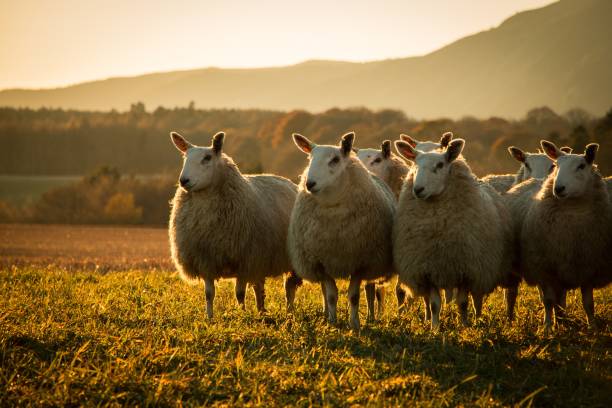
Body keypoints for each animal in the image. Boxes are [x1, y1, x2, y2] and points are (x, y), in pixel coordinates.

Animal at [170, 131, 298, 318]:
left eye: (207, 158)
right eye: (185, 157)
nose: (183, 181)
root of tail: (288, 182)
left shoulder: (244, 260)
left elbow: (239, 293)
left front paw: (242, 315)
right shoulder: (206, 260)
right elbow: (209, 294)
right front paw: (210, 317)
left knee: (289, 287)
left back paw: (289, 311)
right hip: (259, 260)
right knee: (259, 287)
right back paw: (261, 311)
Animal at [288, 132, 394, 330]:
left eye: (335, 160)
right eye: (310, 158)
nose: (309, 184)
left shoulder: (361, 262)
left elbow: (354, 296)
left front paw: (354, 324)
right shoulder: (321, 262)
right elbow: (331, 296)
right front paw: (332, 322)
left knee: (370, 289)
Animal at [390, 135, 512, 330]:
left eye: (440, 165)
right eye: (415, 164)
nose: (418, 190)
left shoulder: (467, 270)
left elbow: (463, 303)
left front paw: (464, 326)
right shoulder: (428, 269)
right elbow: (434, 304)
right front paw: (434, 328)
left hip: (482, 268)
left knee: (477, 298)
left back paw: (477, 318)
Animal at [520, 140, 612, 332]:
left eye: (581, 166)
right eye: (556, 165)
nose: (558, 188)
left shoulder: (587, 267)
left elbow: (588, 303)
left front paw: (592, 327)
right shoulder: (545, 267)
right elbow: (548, 301)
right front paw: (547, 328)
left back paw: (562, 319)